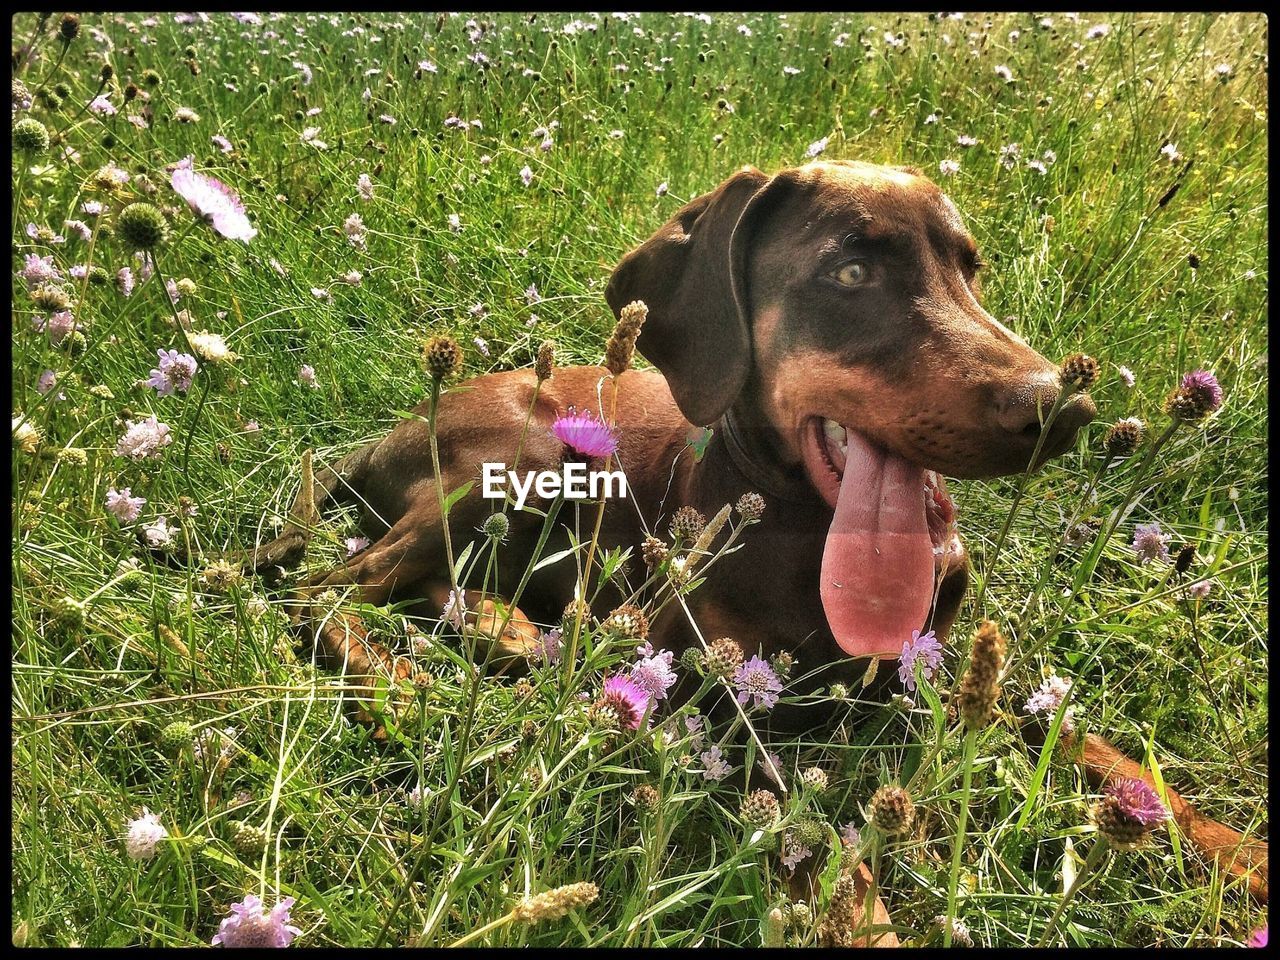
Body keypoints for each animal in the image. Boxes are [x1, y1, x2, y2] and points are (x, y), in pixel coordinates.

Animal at [244, 160, 1264, 911]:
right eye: (850, 271)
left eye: (969, 268)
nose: (1062, 408)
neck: (808, 538)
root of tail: (381, 436)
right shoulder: (717, 701)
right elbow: (823, 848)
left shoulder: (948, 663)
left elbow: (1107, 753)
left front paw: (1236, 851)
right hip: (527, 455)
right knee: (327, 590)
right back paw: (408, 688)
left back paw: (507, 630)